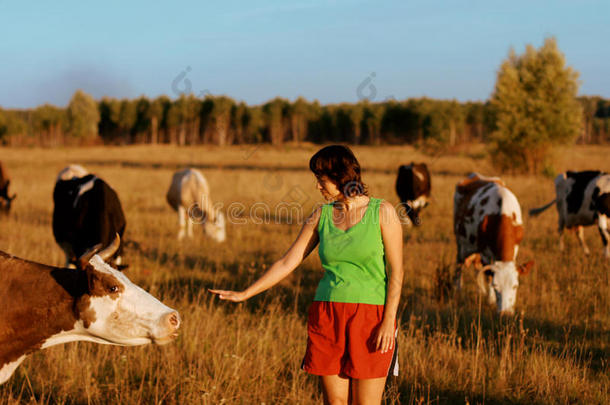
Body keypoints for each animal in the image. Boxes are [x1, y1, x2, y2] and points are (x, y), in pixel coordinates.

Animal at [452, 172, 532, 314]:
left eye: (515, 286)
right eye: (496, 286)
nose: (506, 313)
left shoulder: (515, 248)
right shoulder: (485, 252)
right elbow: (488, 275)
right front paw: (491, 300)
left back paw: (480, 291)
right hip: (460, 241)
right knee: (459, 263)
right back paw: (458, 289)